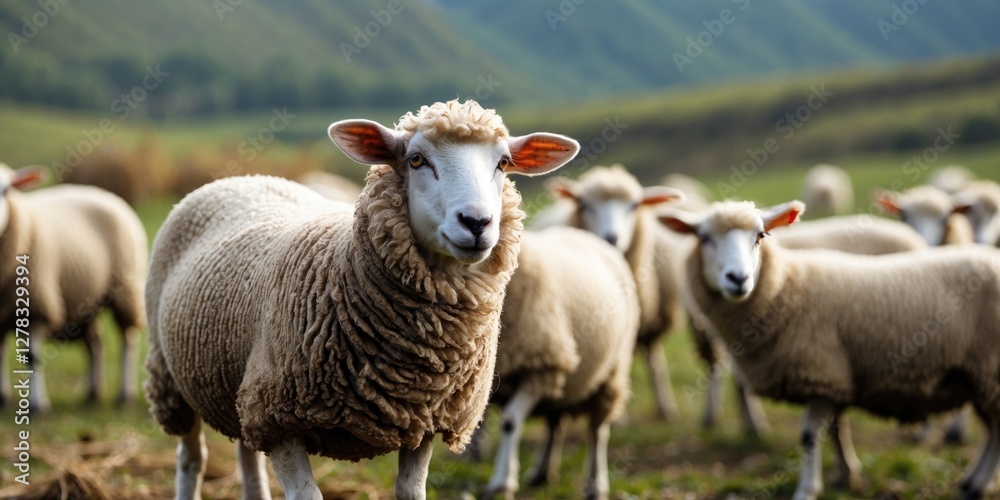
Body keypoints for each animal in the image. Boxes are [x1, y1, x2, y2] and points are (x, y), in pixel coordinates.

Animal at [0, 165, 147, 411]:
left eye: (6, 190)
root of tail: (102, 193)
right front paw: (2, 398)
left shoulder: (39, 306)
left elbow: (32, 357)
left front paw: (38, 405)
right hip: (84, 301)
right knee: (96, 344)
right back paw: (93, 394)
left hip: (125, 289)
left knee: (127, 339)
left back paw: (125, 395)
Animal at [143, 99, 580, 500]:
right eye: (416, 160)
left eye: (503, 163)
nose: (476, 223)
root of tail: (245, 177)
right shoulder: (279, 415)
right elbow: (307, 495)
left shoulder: (424, 419)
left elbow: (411, 492)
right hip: (175, 382)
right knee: (191, 459)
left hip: (238, 387)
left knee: (247, 457)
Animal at [484, 226, 639, 500]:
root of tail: (581, 233)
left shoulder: (543, 367)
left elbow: (510, 422)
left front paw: (502, 483)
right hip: (563, 389)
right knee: (555, 425)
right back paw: (542, 473)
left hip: (611, 371)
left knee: (597, 431)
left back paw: (595, 484)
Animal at [660, 199, 1000, 500]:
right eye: (704, 238)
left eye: (760, 236)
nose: (738, 278)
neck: (785, 289)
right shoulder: (834, 376)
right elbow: (836, 428)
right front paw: (847, 476)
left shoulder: (820, 373)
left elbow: (810, 436)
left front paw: (807, 490)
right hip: (978, 377)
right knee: (992, 428)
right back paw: (972, 482)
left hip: (989, 371)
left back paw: (979, 485)